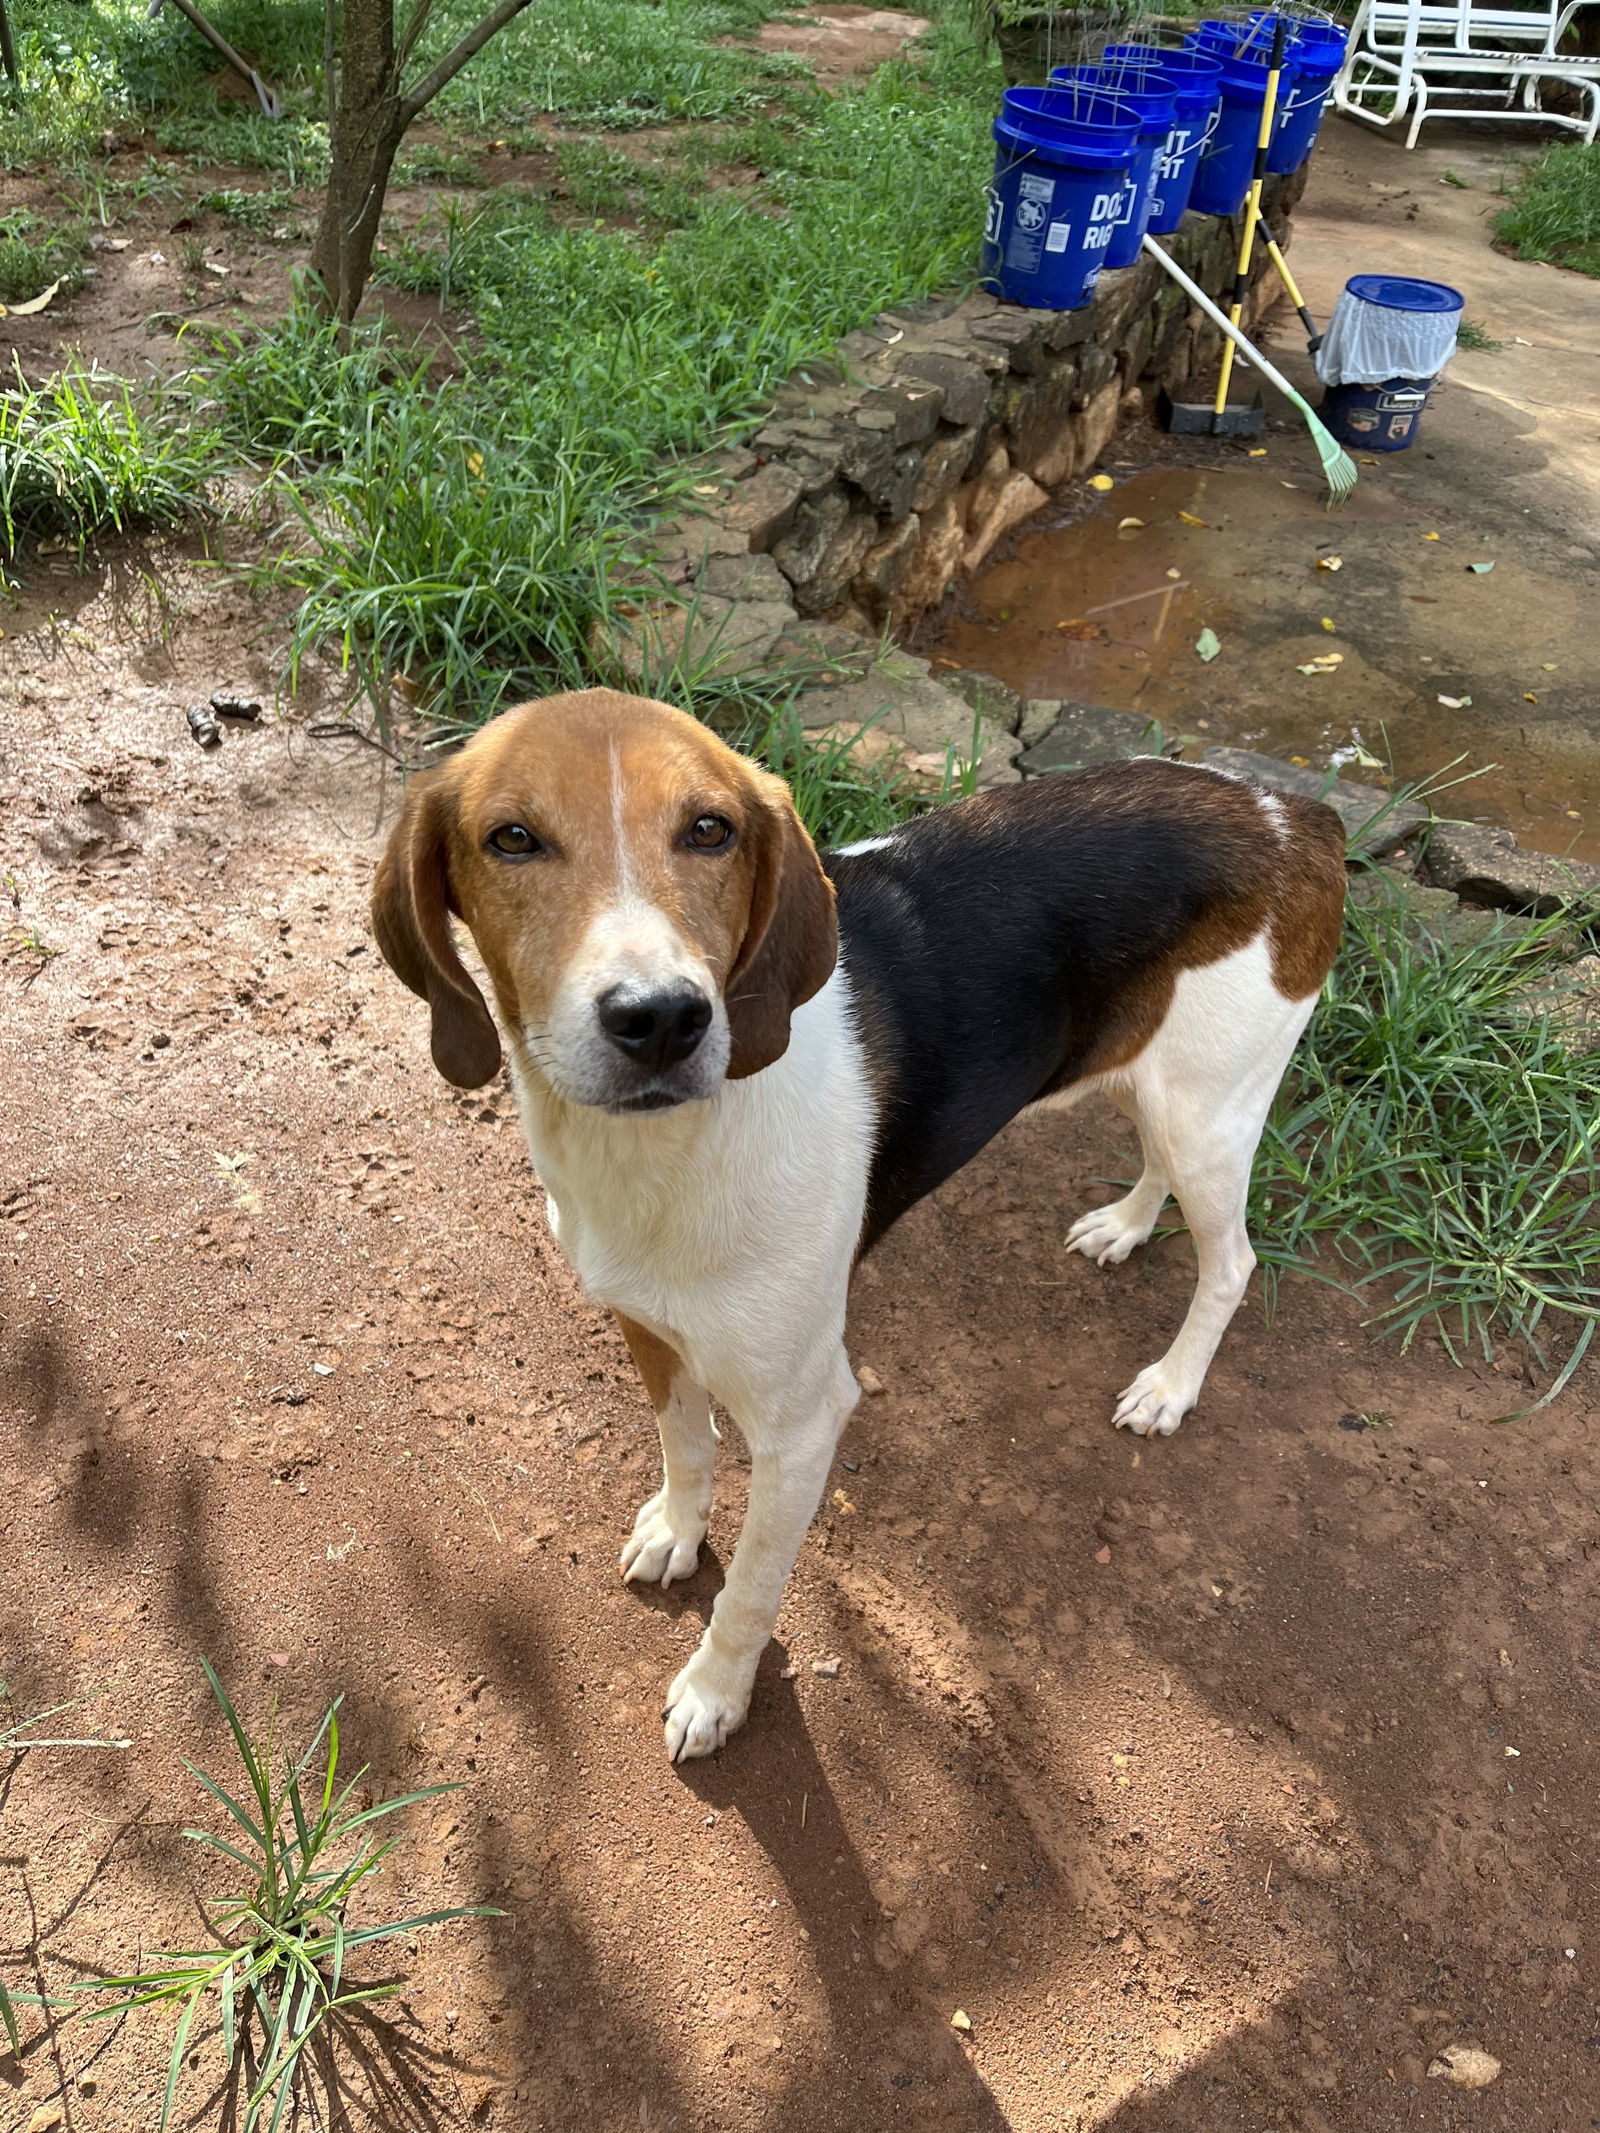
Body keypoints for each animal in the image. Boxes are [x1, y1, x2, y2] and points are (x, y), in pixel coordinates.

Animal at [369, 691, 1348, 1757]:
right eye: (512, 838)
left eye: (709, 829)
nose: (663, 1018)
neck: (666, 1148)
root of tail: (1289, 811)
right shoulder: (646, 1326)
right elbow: (687, 1445)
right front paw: (678, 1529)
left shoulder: (803, 1424)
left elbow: (752, 1588)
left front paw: (717, 1690)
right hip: (1150, 1078)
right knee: (1158, 1165)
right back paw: (1124, 1226)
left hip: (1210, 1110)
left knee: (1232, 1260)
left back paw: (1171, 1384)